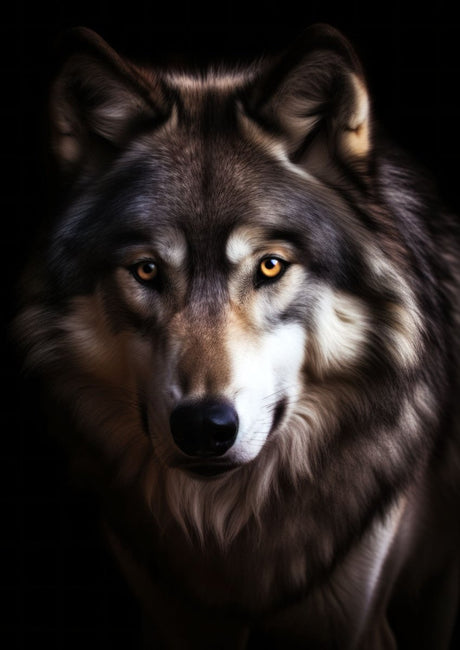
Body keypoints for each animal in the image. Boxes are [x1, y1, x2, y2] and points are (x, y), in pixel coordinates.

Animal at [15, 24, 460, 649]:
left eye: (270, 266)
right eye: (147, 270)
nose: (204, 427)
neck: (227, 527)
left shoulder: (354, 618)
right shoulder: (171, 616)